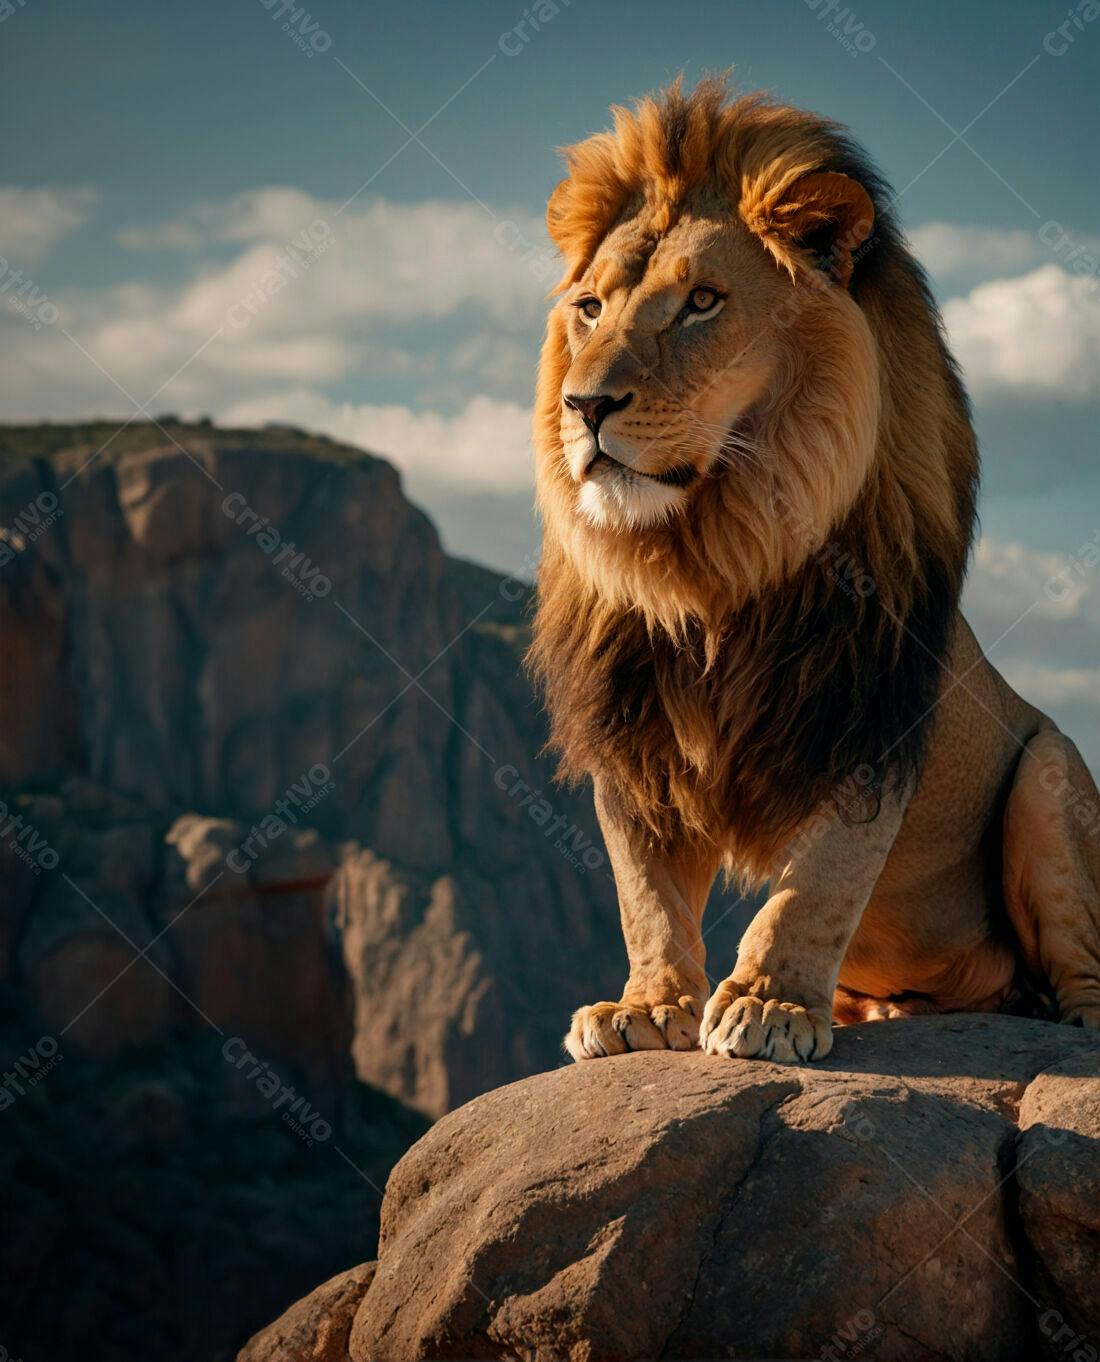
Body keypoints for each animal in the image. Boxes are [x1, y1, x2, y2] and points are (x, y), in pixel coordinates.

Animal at [527, 77, 1100, 1065]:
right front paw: (644, 1008)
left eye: (702, 302)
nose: (585, 405)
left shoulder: (864, 710)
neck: (712, 557)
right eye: (590, 308)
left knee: (1083, 976)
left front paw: (769, 1005)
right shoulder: (630, 731)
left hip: (1052, 770)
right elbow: (646, 893)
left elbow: (818, 880)